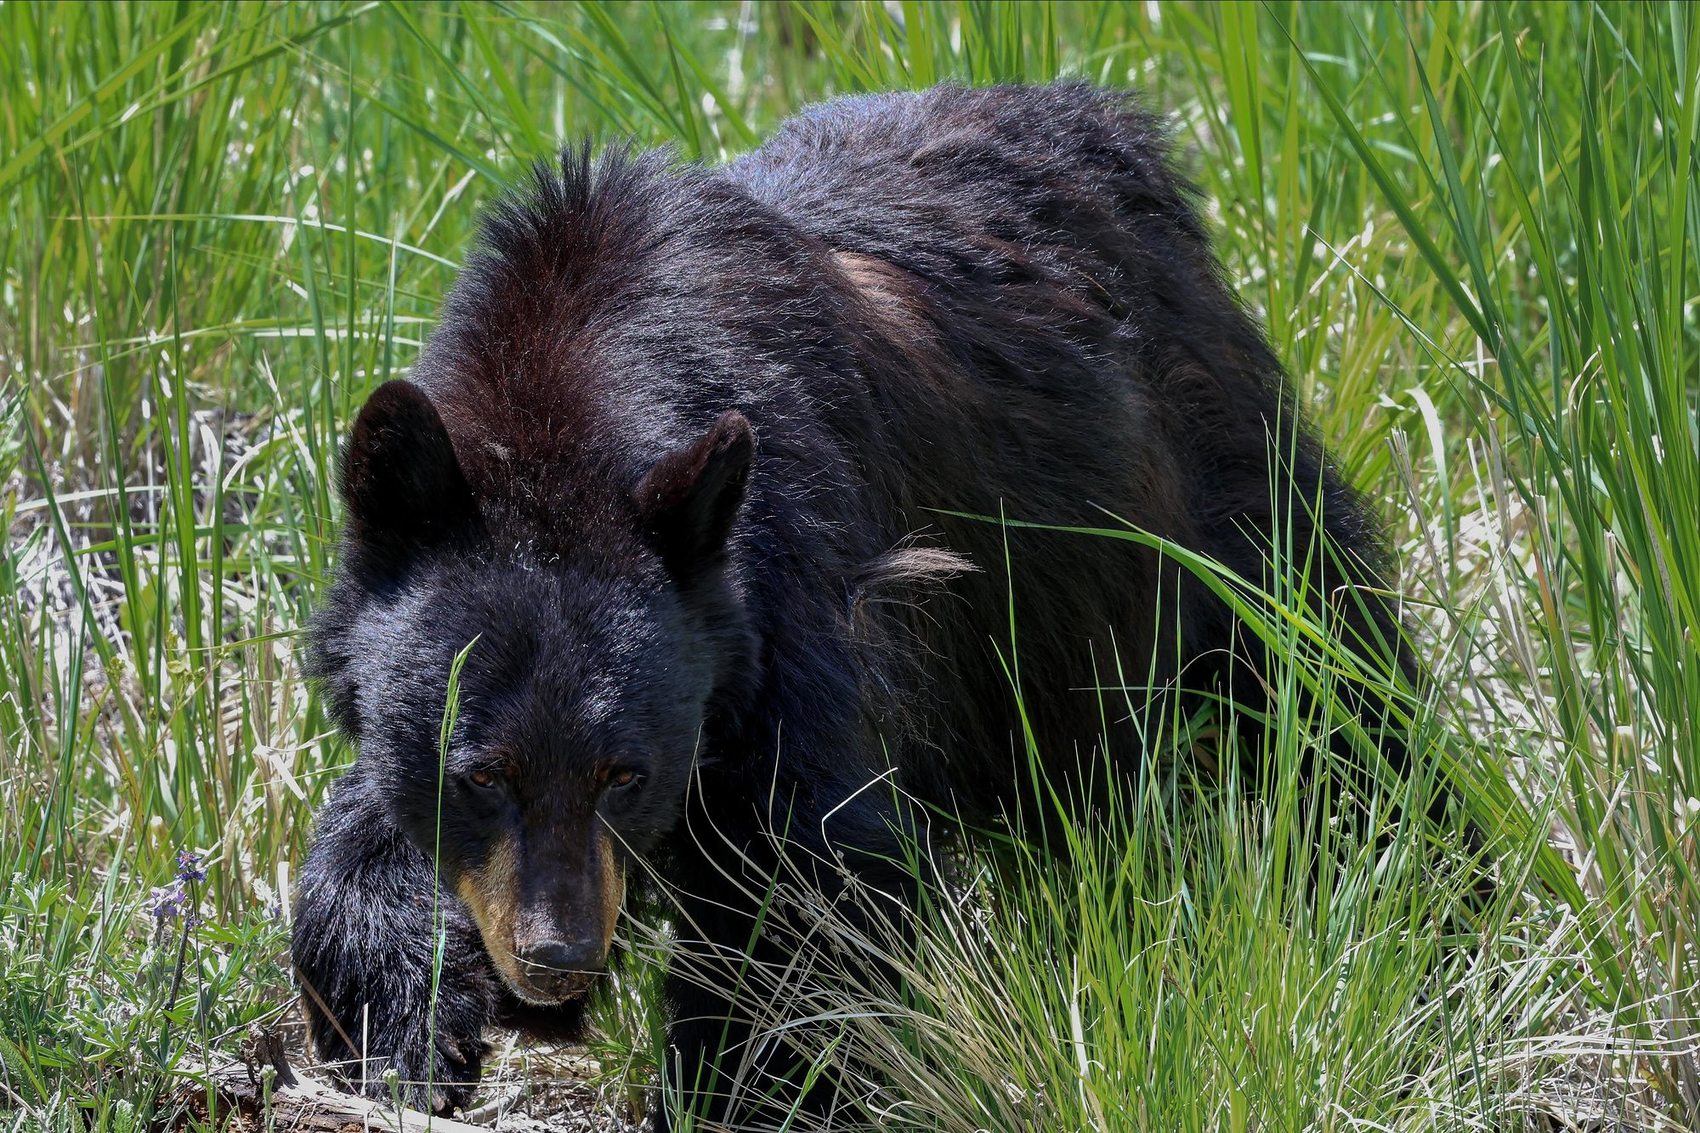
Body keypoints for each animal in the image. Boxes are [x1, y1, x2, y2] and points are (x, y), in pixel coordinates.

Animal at [291, 82, 1424, 1126]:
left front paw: (736, 1092)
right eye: (480, 771)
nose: (556, 957)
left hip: (1208, 511)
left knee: (1337, 699)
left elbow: (802, 889)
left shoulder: (800, 587)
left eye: (626, 771)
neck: (576, 365)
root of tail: (1108, 121)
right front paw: (398, 1022)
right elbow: (369, 834)